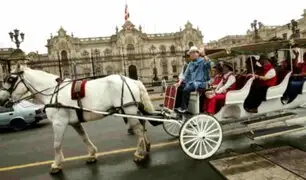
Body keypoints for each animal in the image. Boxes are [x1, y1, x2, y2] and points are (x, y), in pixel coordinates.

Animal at [0, 63, 157, 174]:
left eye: (10, 79)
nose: (1, 99)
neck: (53, 91)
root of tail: (132, 80)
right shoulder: (74, 122)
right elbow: (84, 137)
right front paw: (92, 154)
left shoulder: (59, 122)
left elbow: (57, 144)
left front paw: (57, 164)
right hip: (132, 110)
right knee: (142, 125)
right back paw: (146, 146)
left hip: (128, 109)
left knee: (139, 130)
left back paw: (139, 153)